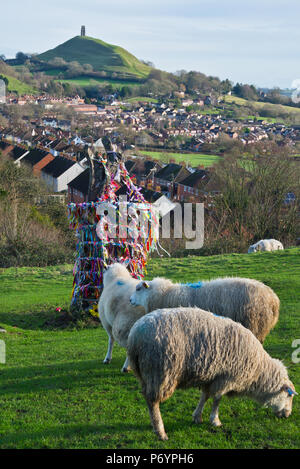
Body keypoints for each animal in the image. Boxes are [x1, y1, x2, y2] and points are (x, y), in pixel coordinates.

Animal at [127, 308, 298, 438]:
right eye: (289, 396)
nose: (288, 415)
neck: (257, 370)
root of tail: (135, 337)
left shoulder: (211, 377)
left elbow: (205, 396)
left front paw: (197, 416)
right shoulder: (226, 377)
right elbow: (217, 399)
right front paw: (215, 420)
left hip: (145, 374)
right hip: (160, 373)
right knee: (152, 402)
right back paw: (160, 431)